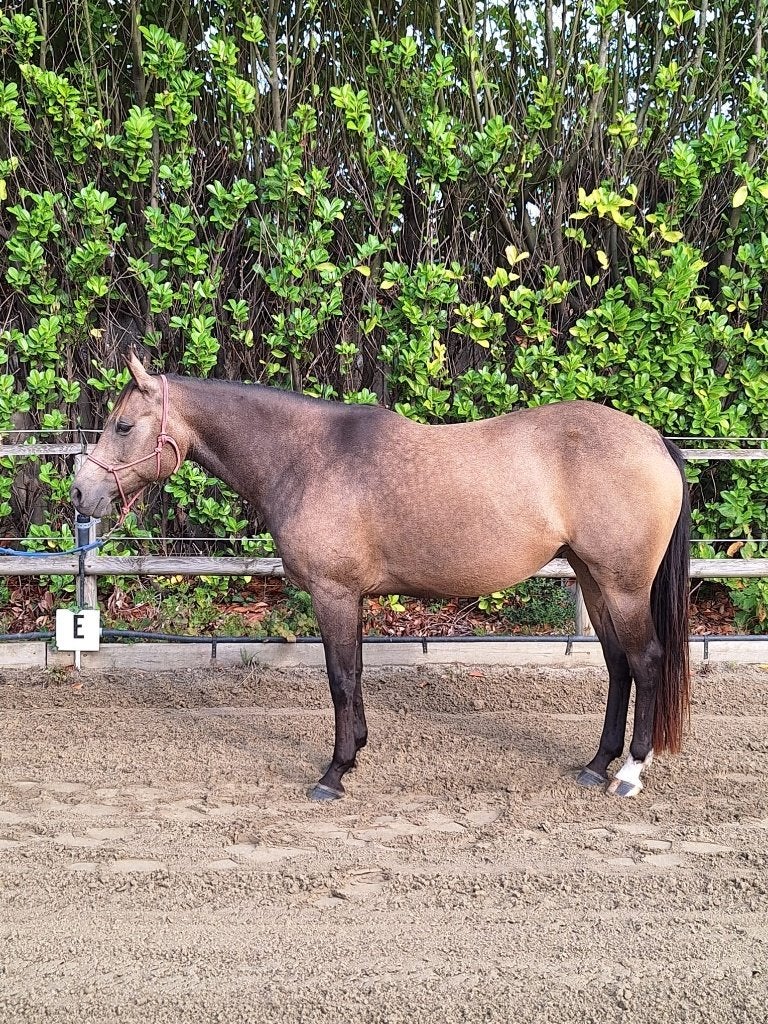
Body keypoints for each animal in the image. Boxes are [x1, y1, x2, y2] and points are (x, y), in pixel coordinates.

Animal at [71, 352, 690, 801]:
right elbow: (357, 672)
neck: (309, 457)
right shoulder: (355, 597)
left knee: (646, 661)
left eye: (122, 425)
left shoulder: (334, 594)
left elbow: (340, 678)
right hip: (592, 578)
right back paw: (596, 764)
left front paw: (334, 772)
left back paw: (629, 773)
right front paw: (357, 751)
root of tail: (653, 439)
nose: (80, 492)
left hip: (624, 585)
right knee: (617, 664)